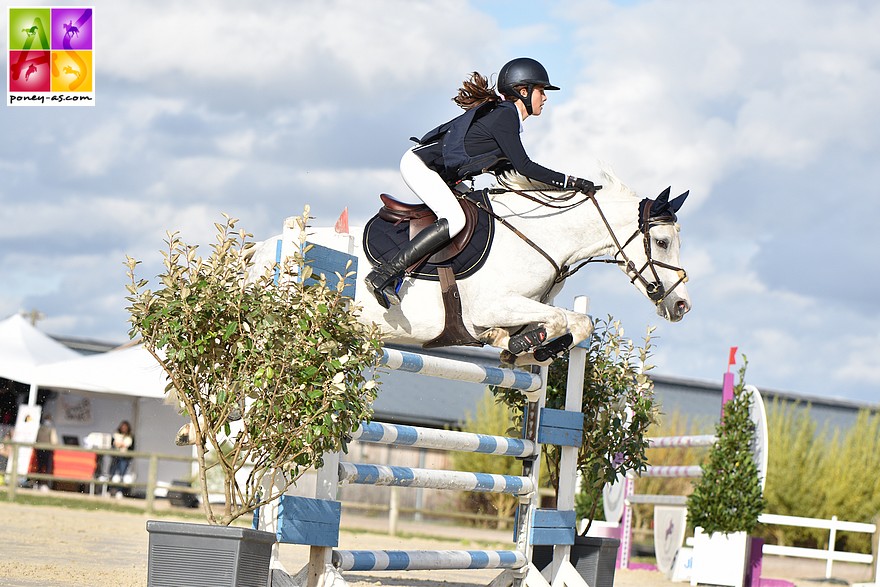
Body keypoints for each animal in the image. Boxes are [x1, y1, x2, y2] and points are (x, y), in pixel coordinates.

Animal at [246, 165, 688, 366]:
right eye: (662, 242)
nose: (682, 306)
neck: (541, 234)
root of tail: (263, 251)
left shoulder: (528, 306)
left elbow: (578, 322)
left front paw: (524, 348)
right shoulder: (490, 306)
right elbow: (561, 320)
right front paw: (519, 344)